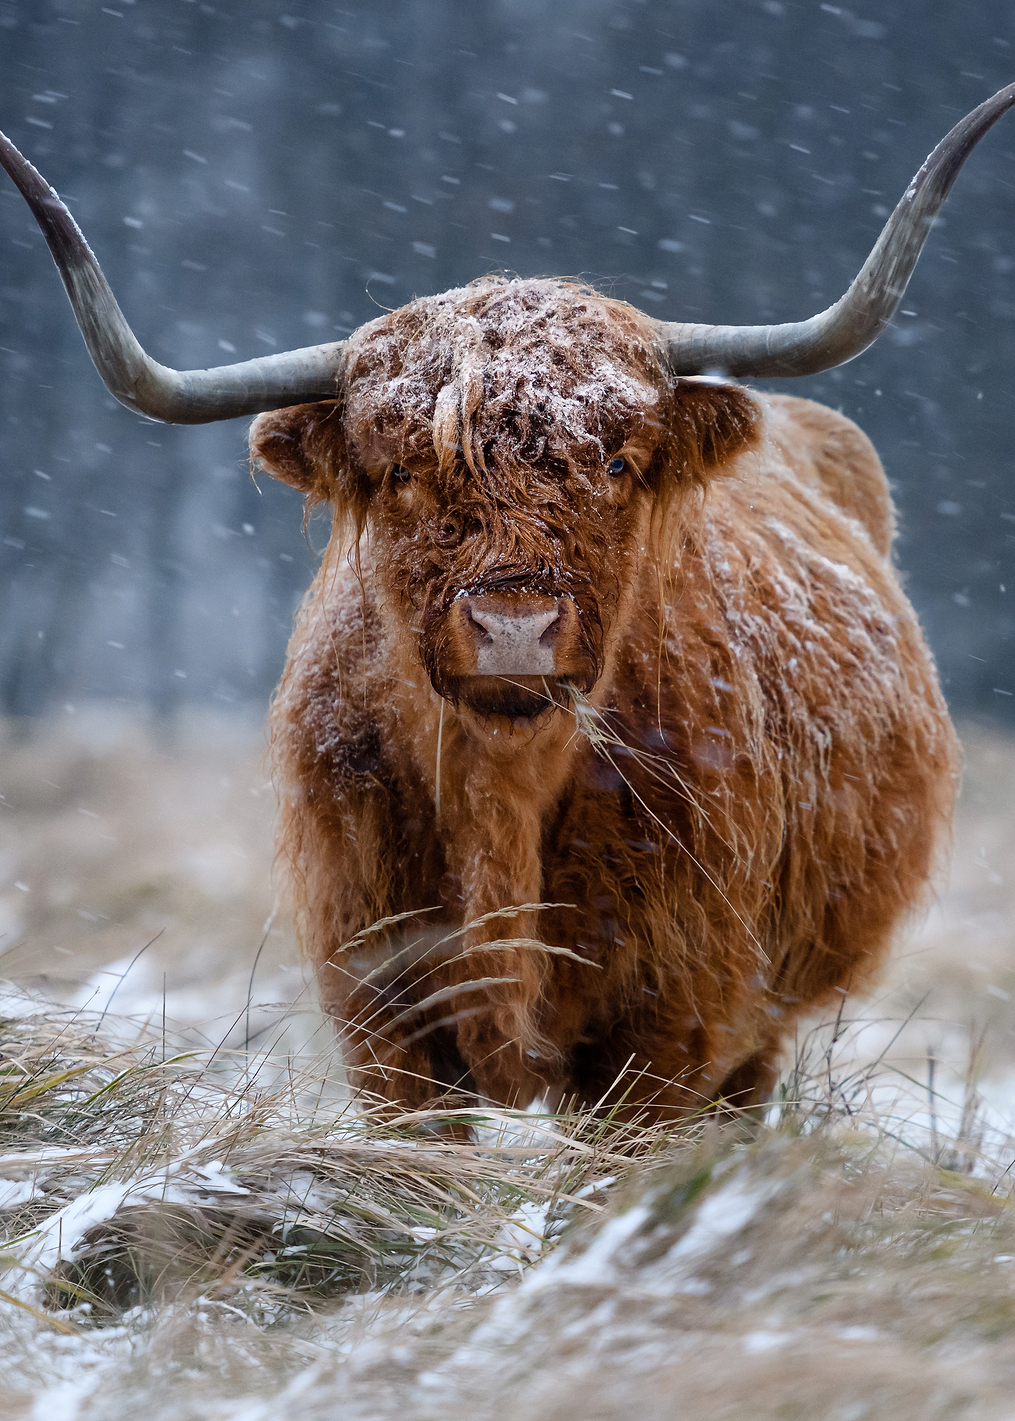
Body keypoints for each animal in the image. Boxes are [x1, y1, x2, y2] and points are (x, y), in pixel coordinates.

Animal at [2, 84, 1012, 1120]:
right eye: (402, 470)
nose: (514, 627)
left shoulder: (673, 1022)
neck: (504, 792)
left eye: (616, 461)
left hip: (761, 1023)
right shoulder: (382, 1013)